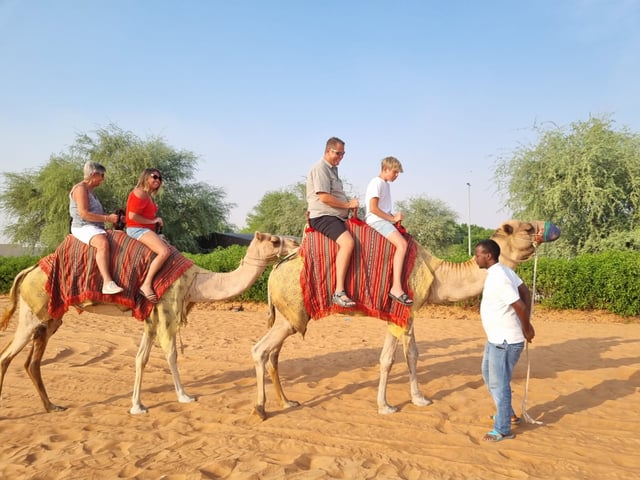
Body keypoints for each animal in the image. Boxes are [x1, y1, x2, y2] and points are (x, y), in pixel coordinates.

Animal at [0, 232, 300, 412]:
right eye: (275, 240)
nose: (296, 243)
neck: (196, 281)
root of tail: (27, 270)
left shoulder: (151, 317)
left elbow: (140, 358)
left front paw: (137, 405)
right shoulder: (166, 309)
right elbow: (171, 354)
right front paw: (184, 396)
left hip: (50, 318)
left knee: (31, 362)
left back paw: (52, 406)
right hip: (33, 313)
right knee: (7, 355)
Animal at [250, 219, 560, 418]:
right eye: (527, 228)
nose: (554, 229)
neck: (437, 273)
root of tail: (275, 269)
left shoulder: (406, 314)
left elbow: (406, 355)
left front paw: (412, 400)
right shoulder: (399, 311)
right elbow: (394, 358)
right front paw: (393, 405)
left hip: (288, 316)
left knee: (273, 354)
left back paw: (287, 402)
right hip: (292, 315)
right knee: (260, 350)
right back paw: (260, 409)